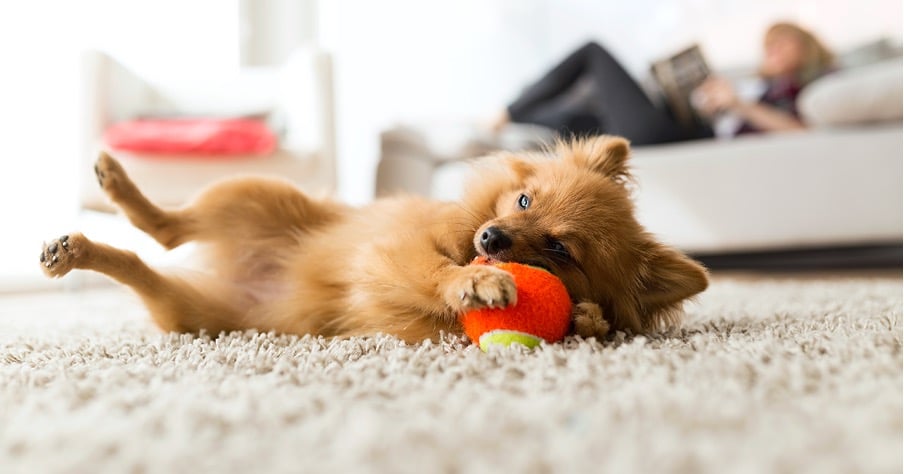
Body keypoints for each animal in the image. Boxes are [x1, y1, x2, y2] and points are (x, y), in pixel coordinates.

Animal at [40, 135, 708, 342]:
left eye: (559, 250)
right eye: (523, 201)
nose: (492, 238)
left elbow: (593, 320)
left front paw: (588, 318)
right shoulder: (397, 251)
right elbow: (440, 272)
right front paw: (474, 280)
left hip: (195, 313)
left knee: (145, 261)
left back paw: (76, 251)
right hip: (254, 193)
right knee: (166, 226)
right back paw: (110, 189)